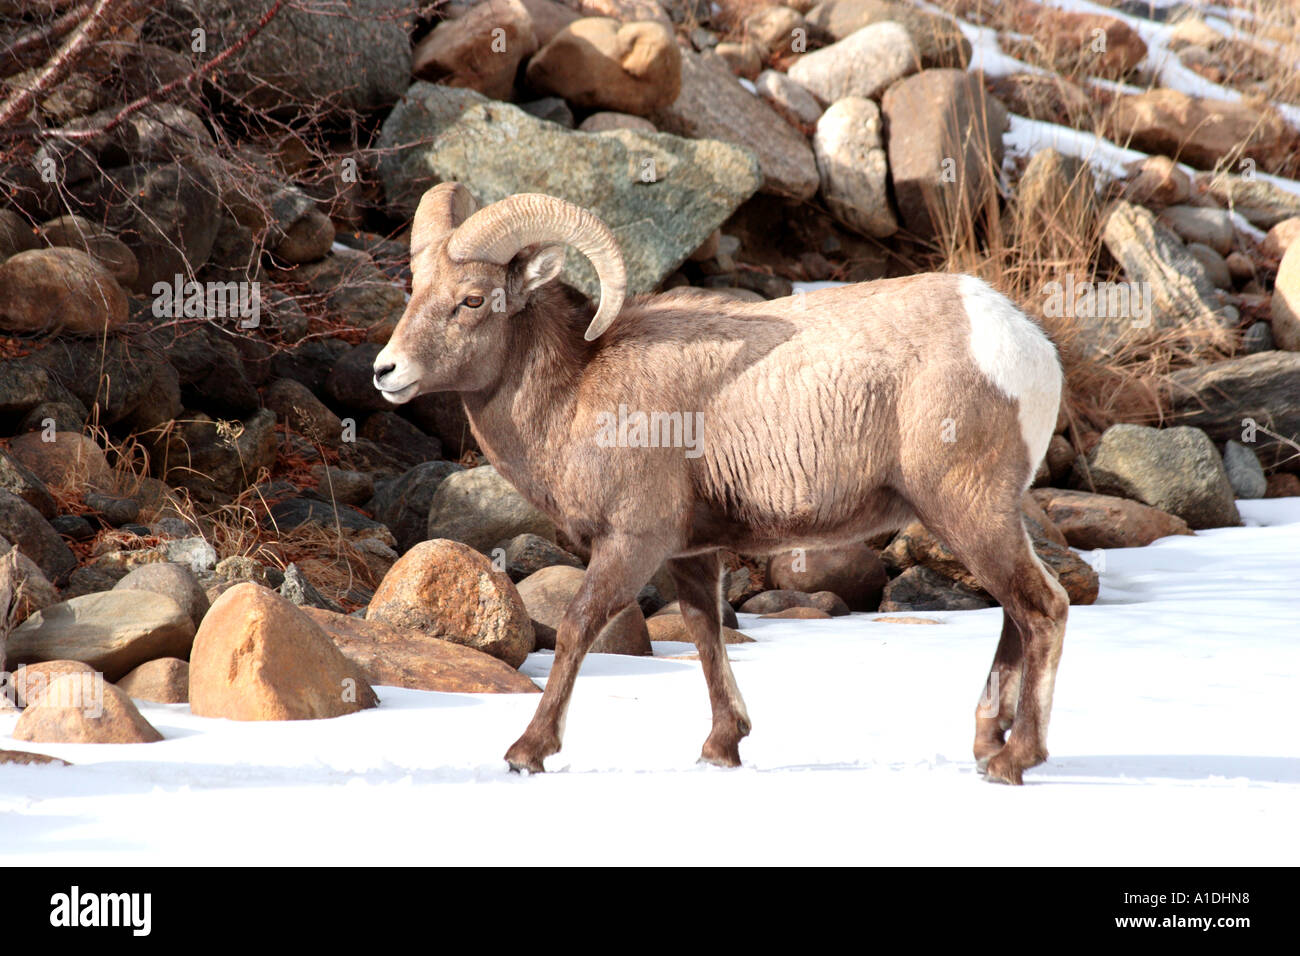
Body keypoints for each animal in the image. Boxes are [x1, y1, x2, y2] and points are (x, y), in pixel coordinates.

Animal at [373, 184, 1068, 785]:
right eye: (416, 289)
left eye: (473, 300)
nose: (386, 371)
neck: (575, 391)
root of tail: (1024, 344)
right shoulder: (693, 553)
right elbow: (705, 632)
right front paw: (720, 748)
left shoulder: (633, 542)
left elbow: (577, 626)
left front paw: (528, 752)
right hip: (981, 517)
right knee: (1016, 612)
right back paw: (987, 746)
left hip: (966, 508)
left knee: (1043, 608)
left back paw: (1014, 762)